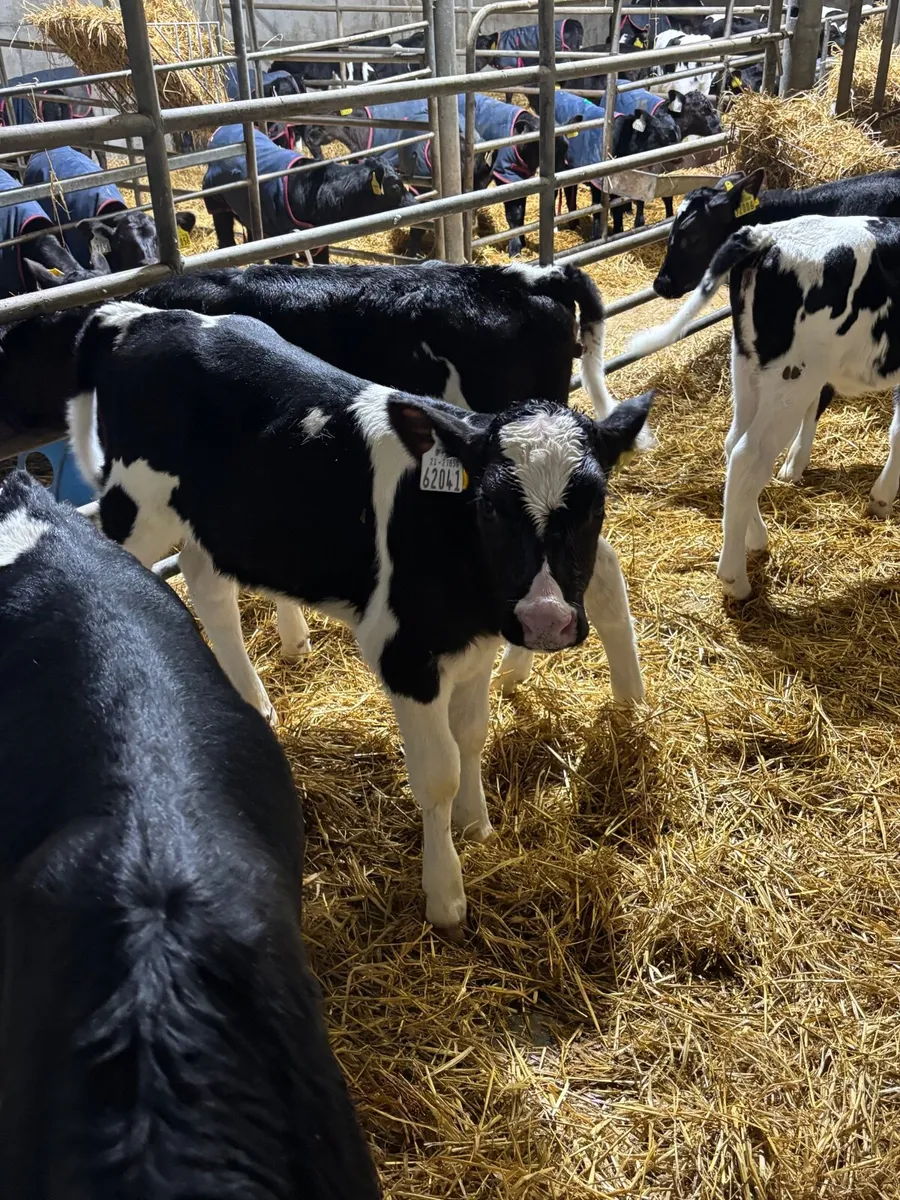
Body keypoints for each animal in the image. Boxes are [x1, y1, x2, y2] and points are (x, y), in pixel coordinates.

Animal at [68, 300, 653, 931]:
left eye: (596, 501)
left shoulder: (477, 643)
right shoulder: (405, 653)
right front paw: (446, 895)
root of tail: (134, 312)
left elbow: (472, 734)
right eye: (491, 504)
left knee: (209, 586)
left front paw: (477, 825)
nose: (546, 620)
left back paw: (255, 703)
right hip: (135, 509)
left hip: (212, 522)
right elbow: (438, 772)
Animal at [202, 125, 413, 263]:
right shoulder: (278, 245)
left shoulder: (320, 245)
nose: (413, 203)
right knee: (226, 240)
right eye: (395, 187)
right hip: (217, 205)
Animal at [629, 215, 900, 599]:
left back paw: (754, 538)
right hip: (795, 375)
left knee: (734, 446)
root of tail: (767, 235)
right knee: (749, 455)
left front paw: (881, 499)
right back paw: (734, 579)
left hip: (746, 366)